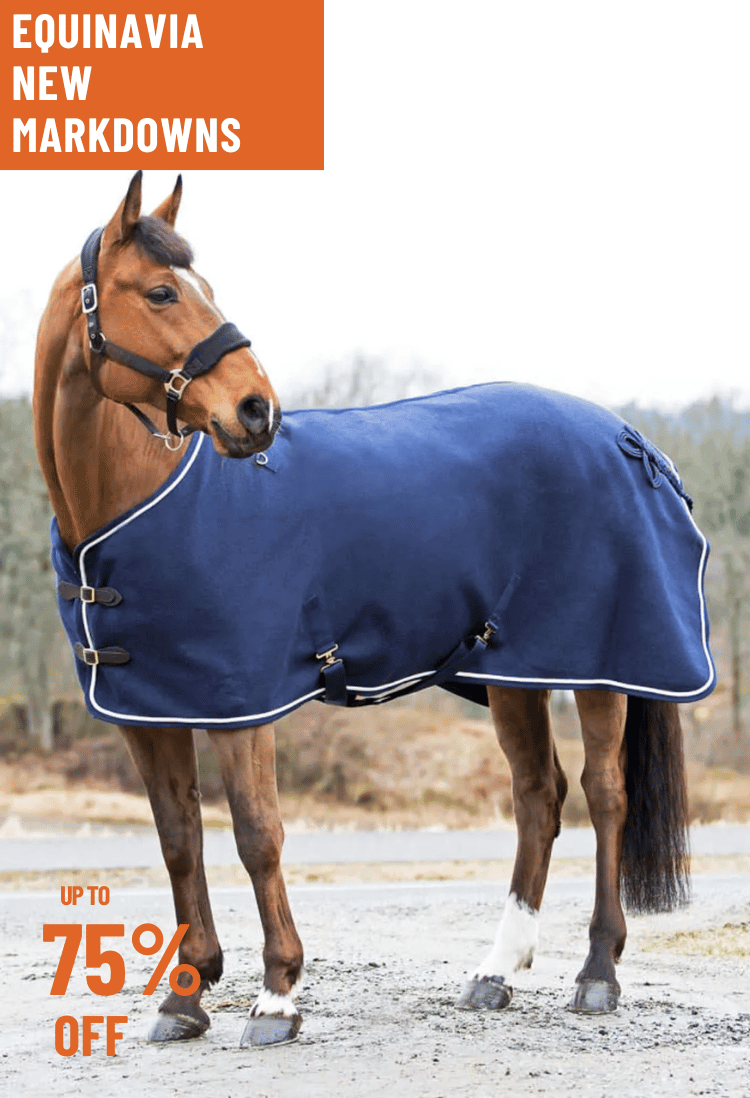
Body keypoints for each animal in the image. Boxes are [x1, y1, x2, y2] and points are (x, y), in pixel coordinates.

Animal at [34, 172, 713, 1047]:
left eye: (202, 285)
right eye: (160, 291)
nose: (256, 411)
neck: (139, 503)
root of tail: (634, 440)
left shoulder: (239, 706)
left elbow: (257, 834)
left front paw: (277, 997)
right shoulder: (148, 710)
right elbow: (179, 840)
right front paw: (184, 1000)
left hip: (600, 669)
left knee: (606, 795)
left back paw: (597, 972)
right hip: (514, 673)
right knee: (538, 796)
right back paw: (495, 971)